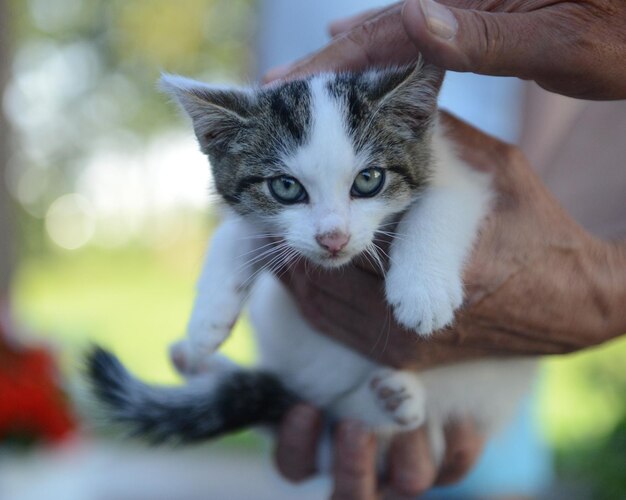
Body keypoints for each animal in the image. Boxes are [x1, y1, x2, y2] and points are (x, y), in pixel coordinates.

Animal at [88, 62, 532, 468]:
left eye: (369, 179)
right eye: (286, 187)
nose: (332, 237)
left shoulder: (461, 174)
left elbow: (442, 205)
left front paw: (423, 293)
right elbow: (234, 233)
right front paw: (206, 321)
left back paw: (397, 400)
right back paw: (199, 363)